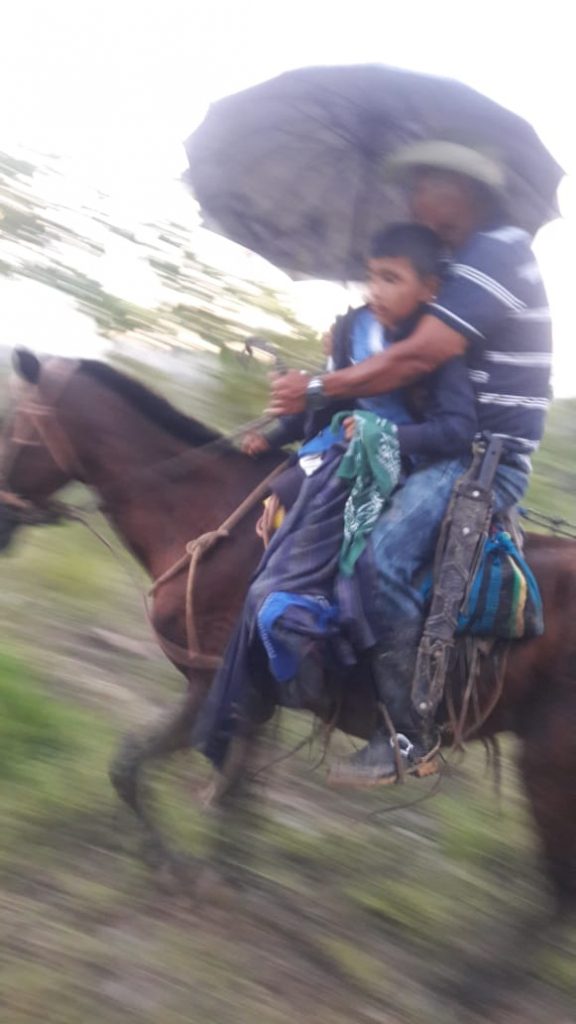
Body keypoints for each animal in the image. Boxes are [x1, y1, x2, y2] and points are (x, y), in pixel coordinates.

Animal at [3, 348, 573, 909]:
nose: (4, 526)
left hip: (548, 764)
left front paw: (178, 868)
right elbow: (232, 792)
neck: (203, 518)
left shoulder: (217, 685)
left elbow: (131, 766)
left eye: (10, 428)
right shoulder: (251, 698)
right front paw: (224, 873)